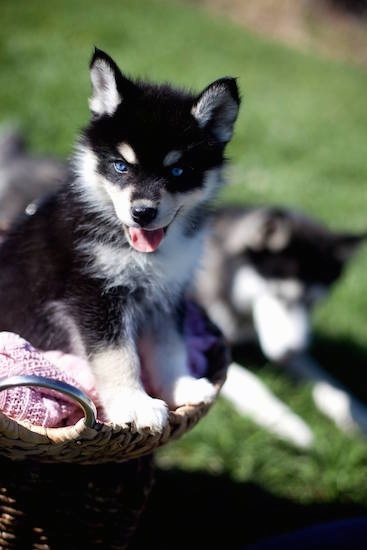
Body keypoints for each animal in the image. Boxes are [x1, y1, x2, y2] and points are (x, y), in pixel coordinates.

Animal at [0, 49, 242, 434]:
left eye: (177, 171)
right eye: (120, 166)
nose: (142, 213)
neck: (144, 255)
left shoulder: (166, 296)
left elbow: (170, 348)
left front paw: (181, 386)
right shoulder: (95, 293)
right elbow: (119, 357)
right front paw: (135, 404)